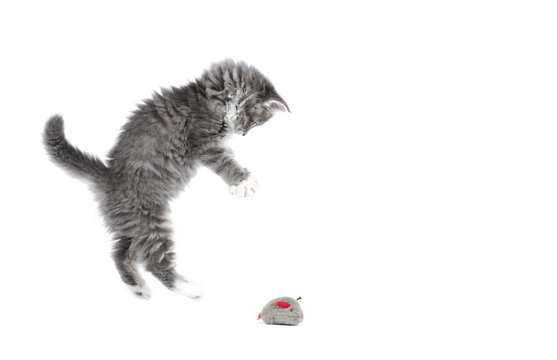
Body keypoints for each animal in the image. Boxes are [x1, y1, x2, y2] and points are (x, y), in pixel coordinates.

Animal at [41, 60, 288, 300]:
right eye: (254, 123)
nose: (243, 134)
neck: (211, 96)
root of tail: (107, 178)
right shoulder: (202, 142)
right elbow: (224, 161)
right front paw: (243, 182)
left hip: (132, 224)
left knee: (120, 253)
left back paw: (138, 288)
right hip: (151, 221)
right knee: (154, 263)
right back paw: (188, 288)